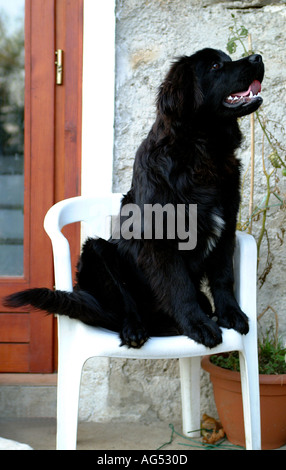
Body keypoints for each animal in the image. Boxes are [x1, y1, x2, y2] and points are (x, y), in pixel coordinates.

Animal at [3, 48, 264, 348]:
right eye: (214, 66)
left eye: (227, 58)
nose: (257, 57)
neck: (202, 151)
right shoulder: (161, 238)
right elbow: (179, 285)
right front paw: (199, 325)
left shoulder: (226, 224)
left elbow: (223, 277)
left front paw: (230, 313)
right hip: (97, 251)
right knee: (125, 304)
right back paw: (135, 329)